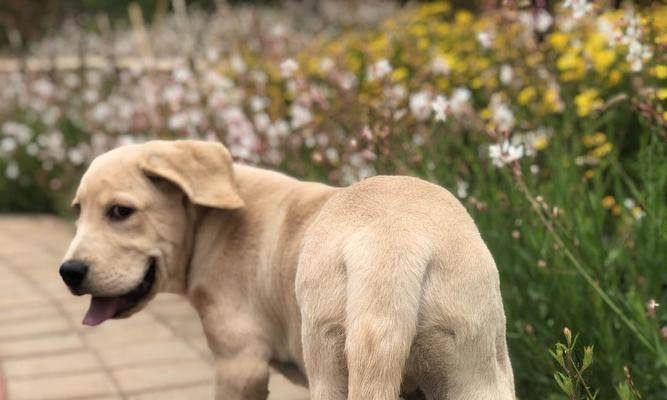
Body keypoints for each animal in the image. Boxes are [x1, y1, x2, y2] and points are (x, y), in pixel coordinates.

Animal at [60, 140, 516, 400]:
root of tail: (390, 241)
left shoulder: (238, 367)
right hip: (478, 379)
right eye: (78, 211)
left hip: (328, 370)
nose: (69, 271)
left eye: (120, 212)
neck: (215, 222)